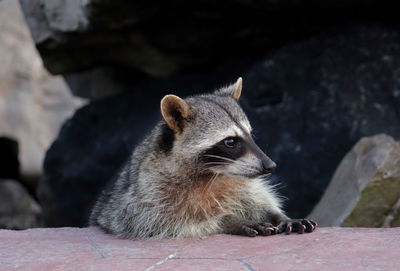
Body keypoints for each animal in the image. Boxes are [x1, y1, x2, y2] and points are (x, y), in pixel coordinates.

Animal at [90, 77, 316, 239]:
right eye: (230, 141)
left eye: (250, 134)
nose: (271, 166)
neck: (213, 172)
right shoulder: (148, 200)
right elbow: (174, 223)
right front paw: (231, 220)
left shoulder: (242, 182)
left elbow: (258, 197)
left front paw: (279, 215)